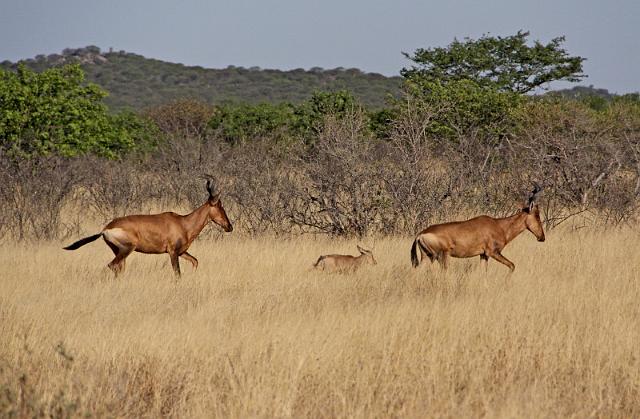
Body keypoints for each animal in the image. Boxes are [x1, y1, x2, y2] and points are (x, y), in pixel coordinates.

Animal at [62, 181, 231, 278]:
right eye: (219, 206)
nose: (230, 226)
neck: (183, 222)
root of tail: (105, 229)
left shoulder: (182, 252)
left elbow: (195, 261)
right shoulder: (173, 252)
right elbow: (177, 274)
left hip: (118, 251)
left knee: (119, 268)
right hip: (127, 249)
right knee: (112, 266)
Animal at [410, 185, 544, 272]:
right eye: (537, 215)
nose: (542, 237)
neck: (499, 225)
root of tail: (420, 234)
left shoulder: (483, 255)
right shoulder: (493, 253)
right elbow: (512, 265)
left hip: (427, 257)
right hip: (442, 256)